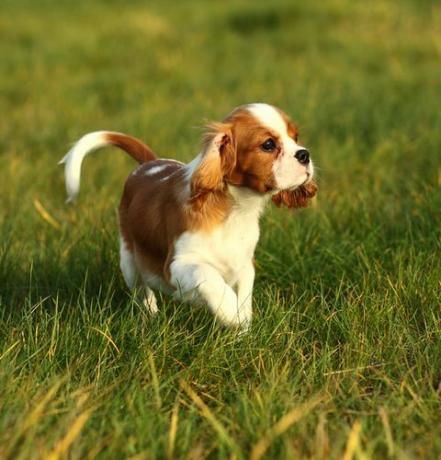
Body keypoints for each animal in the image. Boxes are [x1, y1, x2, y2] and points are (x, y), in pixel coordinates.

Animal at [61, 103, 316, 330]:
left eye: (295, 137)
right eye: (268, 144)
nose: (305, 154)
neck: (236, 209)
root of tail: (149, 164)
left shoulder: (244, 264)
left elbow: (245, 296)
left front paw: (243, 331)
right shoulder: (177, 266)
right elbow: (207, 274)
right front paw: (230, 313)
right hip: (129, 261)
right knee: (143, 290)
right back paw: (151, 316)